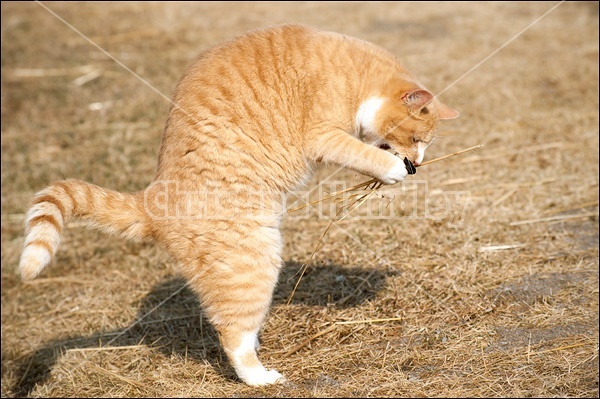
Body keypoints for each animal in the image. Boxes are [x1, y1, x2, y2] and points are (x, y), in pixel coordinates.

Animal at [18, 23, 460, 386]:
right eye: (415, 139)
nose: (418, 165)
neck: (354, 73)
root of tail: (152, 198)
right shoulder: (323, 134)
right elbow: (362, 153)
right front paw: (393, 170)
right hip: (255, 260)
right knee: (233, 334)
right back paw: (261, 376)